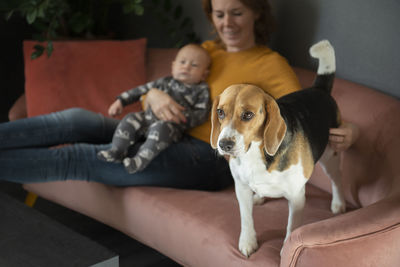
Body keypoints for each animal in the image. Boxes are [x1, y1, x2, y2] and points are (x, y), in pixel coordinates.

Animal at [211, 40, 346, 258]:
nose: (224, 145)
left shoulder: (297, 197)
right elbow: (246, 218)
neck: (254, 154)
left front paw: (284, 250)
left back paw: (339, 203)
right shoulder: (240, 188)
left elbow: (292, 228)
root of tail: (319, 89)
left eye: (248, 115)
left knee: (337, 178)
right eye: (220, 112)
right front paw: (248, 242)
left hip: (330, 155)